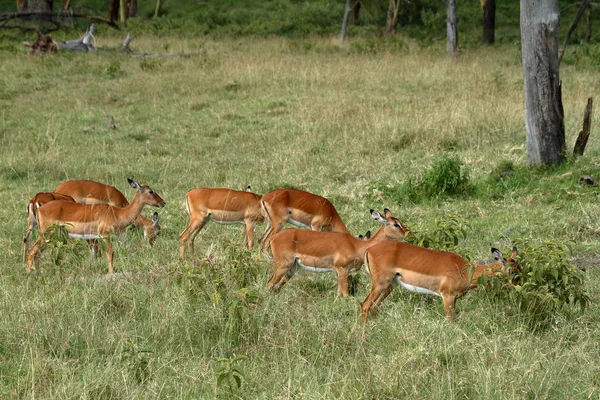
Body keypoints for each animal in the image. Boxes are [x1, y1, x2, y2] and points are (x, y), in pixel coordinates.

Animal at [27, 179, 165, 276]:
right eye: (150, 191)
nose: (163, 202)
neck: (118, 212)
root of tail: (38, 205)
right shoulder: (105, 235)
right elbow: (110, 253)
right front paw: (111, 273)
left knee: (36, 251)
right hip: (46, 233)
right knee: (33, 249)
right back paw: (29, 274)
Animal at [268, 208, 408, 296]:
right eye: (396, 224)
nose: (406, 233)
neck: (357, 245)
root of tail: (274, 238)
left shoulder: (342, 273)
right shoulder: (342, 270)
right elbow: (345, 295)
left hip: (293, 267)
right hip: (283, 265)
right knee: (270, 283)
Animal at [360, 241, 520, 322]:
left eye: (520, 268)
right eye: (512, 271)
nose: (517, 287)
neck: (465, 271)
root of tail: (369, 249)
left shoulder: (454, 299)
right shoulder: (447, 296)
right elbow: (451, 320)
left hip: (389, 286)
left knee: (374, 306)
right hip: (381, 284)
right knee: (365, 305)